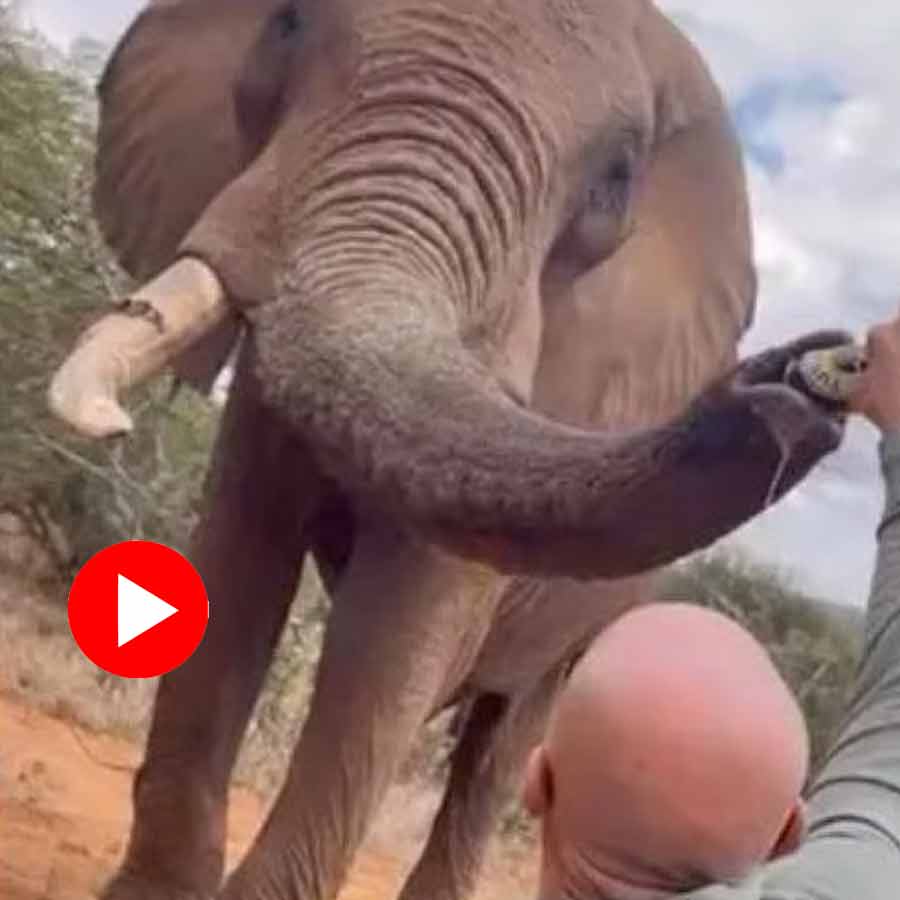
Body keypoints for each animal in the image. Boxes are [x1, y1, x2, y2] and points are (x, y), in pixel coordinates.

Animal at [48, 1, 849, 899]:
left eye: (616, 177)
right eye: (287, 24)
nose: (805, 376)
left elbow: (397, 633)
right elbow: (237, 557)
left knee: (504, 743)